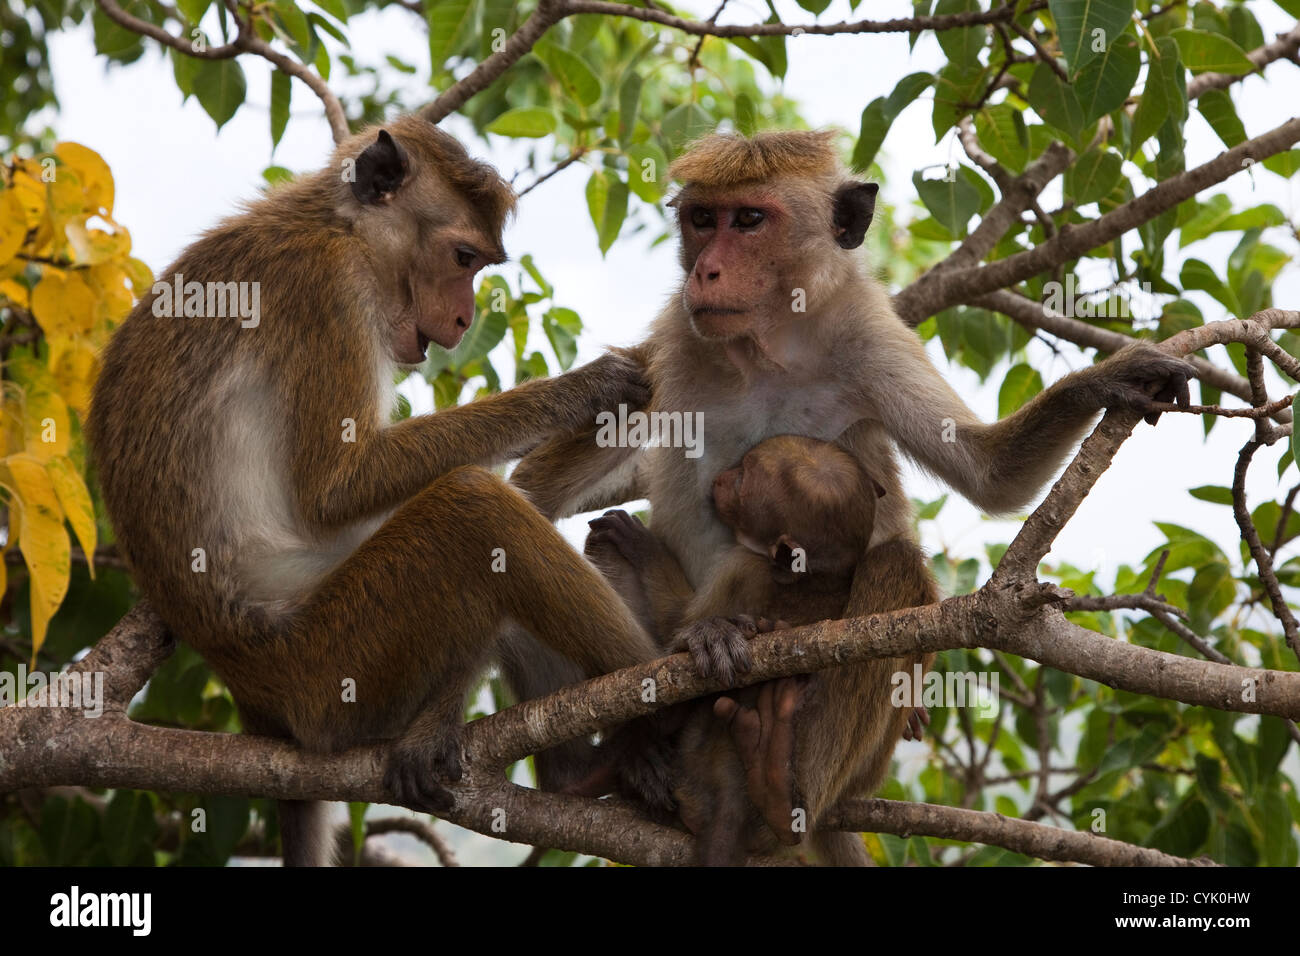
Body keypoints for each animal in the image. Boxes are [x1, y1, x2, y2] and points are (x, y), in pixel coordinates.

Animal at [87, 115, 668, 866]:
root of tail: (260, 703)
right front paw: (579, 391)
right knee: (475, 510)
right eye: (463, 258)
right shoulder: (328, 290)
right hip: (334, 668)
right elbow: (336, 487)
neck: (338, 227)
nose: (463, 320)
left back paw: (575, 768)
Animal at [584, 435, 937, 864]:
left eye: (744, 476)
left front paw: (643, 549)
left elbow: (675, 631)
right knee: (901, 561)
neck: (817, 579)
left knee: (897, 561)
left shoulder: (743, 566)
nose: (722, 477)